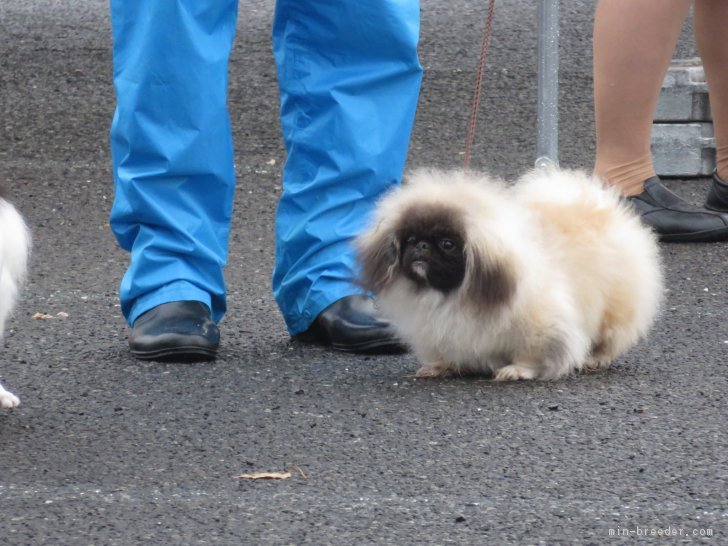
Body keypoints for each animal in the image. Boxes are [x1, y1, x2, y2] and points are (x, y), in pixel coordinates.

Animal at [356, 168, 664, 380]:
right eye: (409, 239)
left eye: (447, 244)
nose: (421, 246)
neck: (450, 294)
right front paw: (440, 367)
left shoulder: (541, 325)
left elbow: (530, 353)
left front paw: (515, 370)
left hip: (613, 311)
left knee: (610, 338)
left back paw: (596, 359)